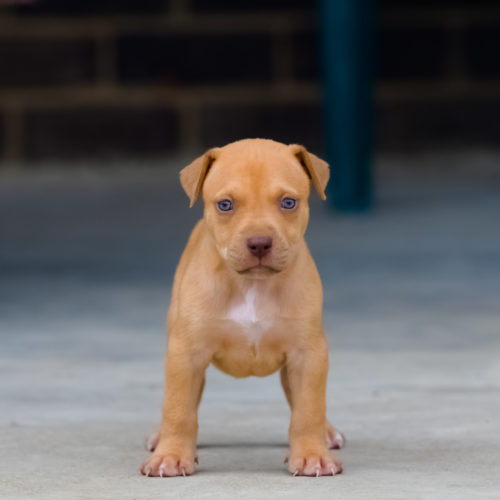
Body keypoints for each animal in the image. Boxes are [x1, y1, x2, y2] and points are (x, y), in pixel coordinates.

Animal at [141, 139, 344, 478]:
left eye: (288, 202)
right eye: (225, 205)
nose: (259, 242)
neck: (252, 285)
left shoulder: (308, 356)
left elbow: (308, 409)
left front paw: (312, 455)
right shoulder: (185, 354)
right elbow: (179, 408)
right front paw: (171, 455)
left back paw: (326, 433)